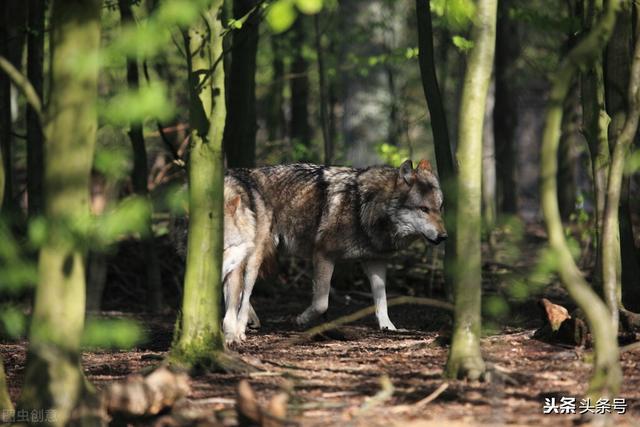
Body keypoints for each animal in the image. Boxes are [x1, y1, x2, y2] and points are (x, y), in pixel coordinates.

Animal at [224, 160, 444, 344]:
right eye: (424, 209)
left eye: (440, 208)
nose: (444, 236)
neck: (363, 207)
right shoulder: (323, 256)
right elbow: (321, 303)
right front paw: (301, 319)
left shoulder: (375, 261)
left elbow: (382, 300)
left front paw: (388, 327)